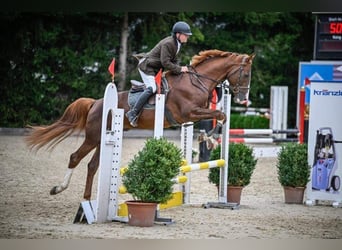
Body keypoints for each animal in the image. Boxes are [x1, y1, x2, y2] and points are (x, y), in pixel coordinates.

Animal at [26, 49, 254, 200]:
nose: (243, 99)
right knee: (75, 157)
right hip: (93, 136)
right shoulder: (188, 113)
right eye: (245, 74)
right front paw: (209, 138)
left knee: (92, 165)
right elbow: (220, 114)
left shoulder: (192, 116)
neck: (196, 81)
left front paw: (209, 137)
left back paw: (87, 198)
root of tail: (96, 103)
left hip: (102, 139)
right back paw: (59, 189)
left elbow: (220, 116)